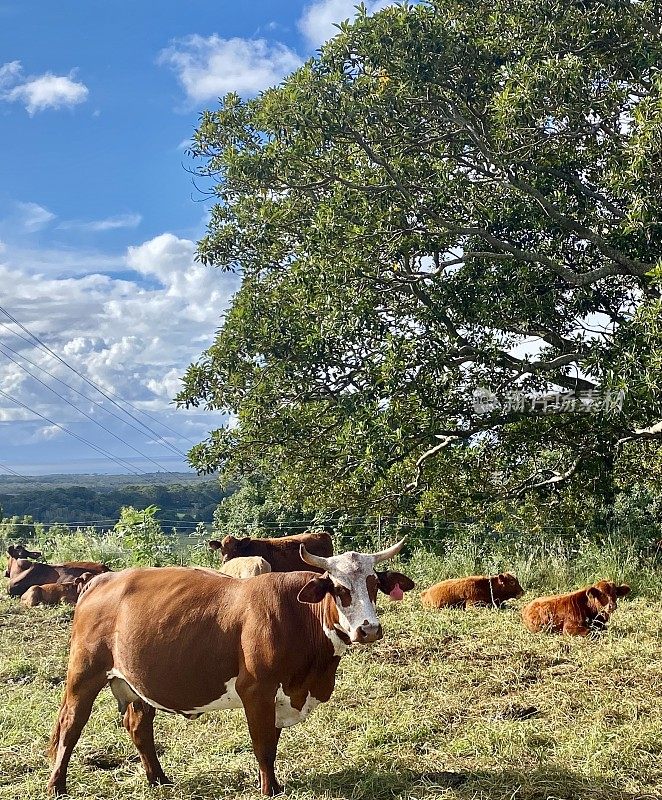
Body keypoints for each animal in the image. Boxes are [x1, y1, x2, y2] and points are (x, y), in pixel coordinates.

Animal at [48, 540, 416, 796]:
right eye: (339, 589)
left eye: (374, 584)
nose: (369, 629)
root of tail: (102, 580)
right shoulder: (256, 691)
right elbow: (263, 746)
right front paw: (269, 790)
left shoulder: (277, 697)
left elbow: (271, 743)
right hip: (84, 674)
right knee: (70, 725)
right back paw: (57, 786)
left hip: (137, 683)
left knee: (139, 727)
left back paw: (159, 780)